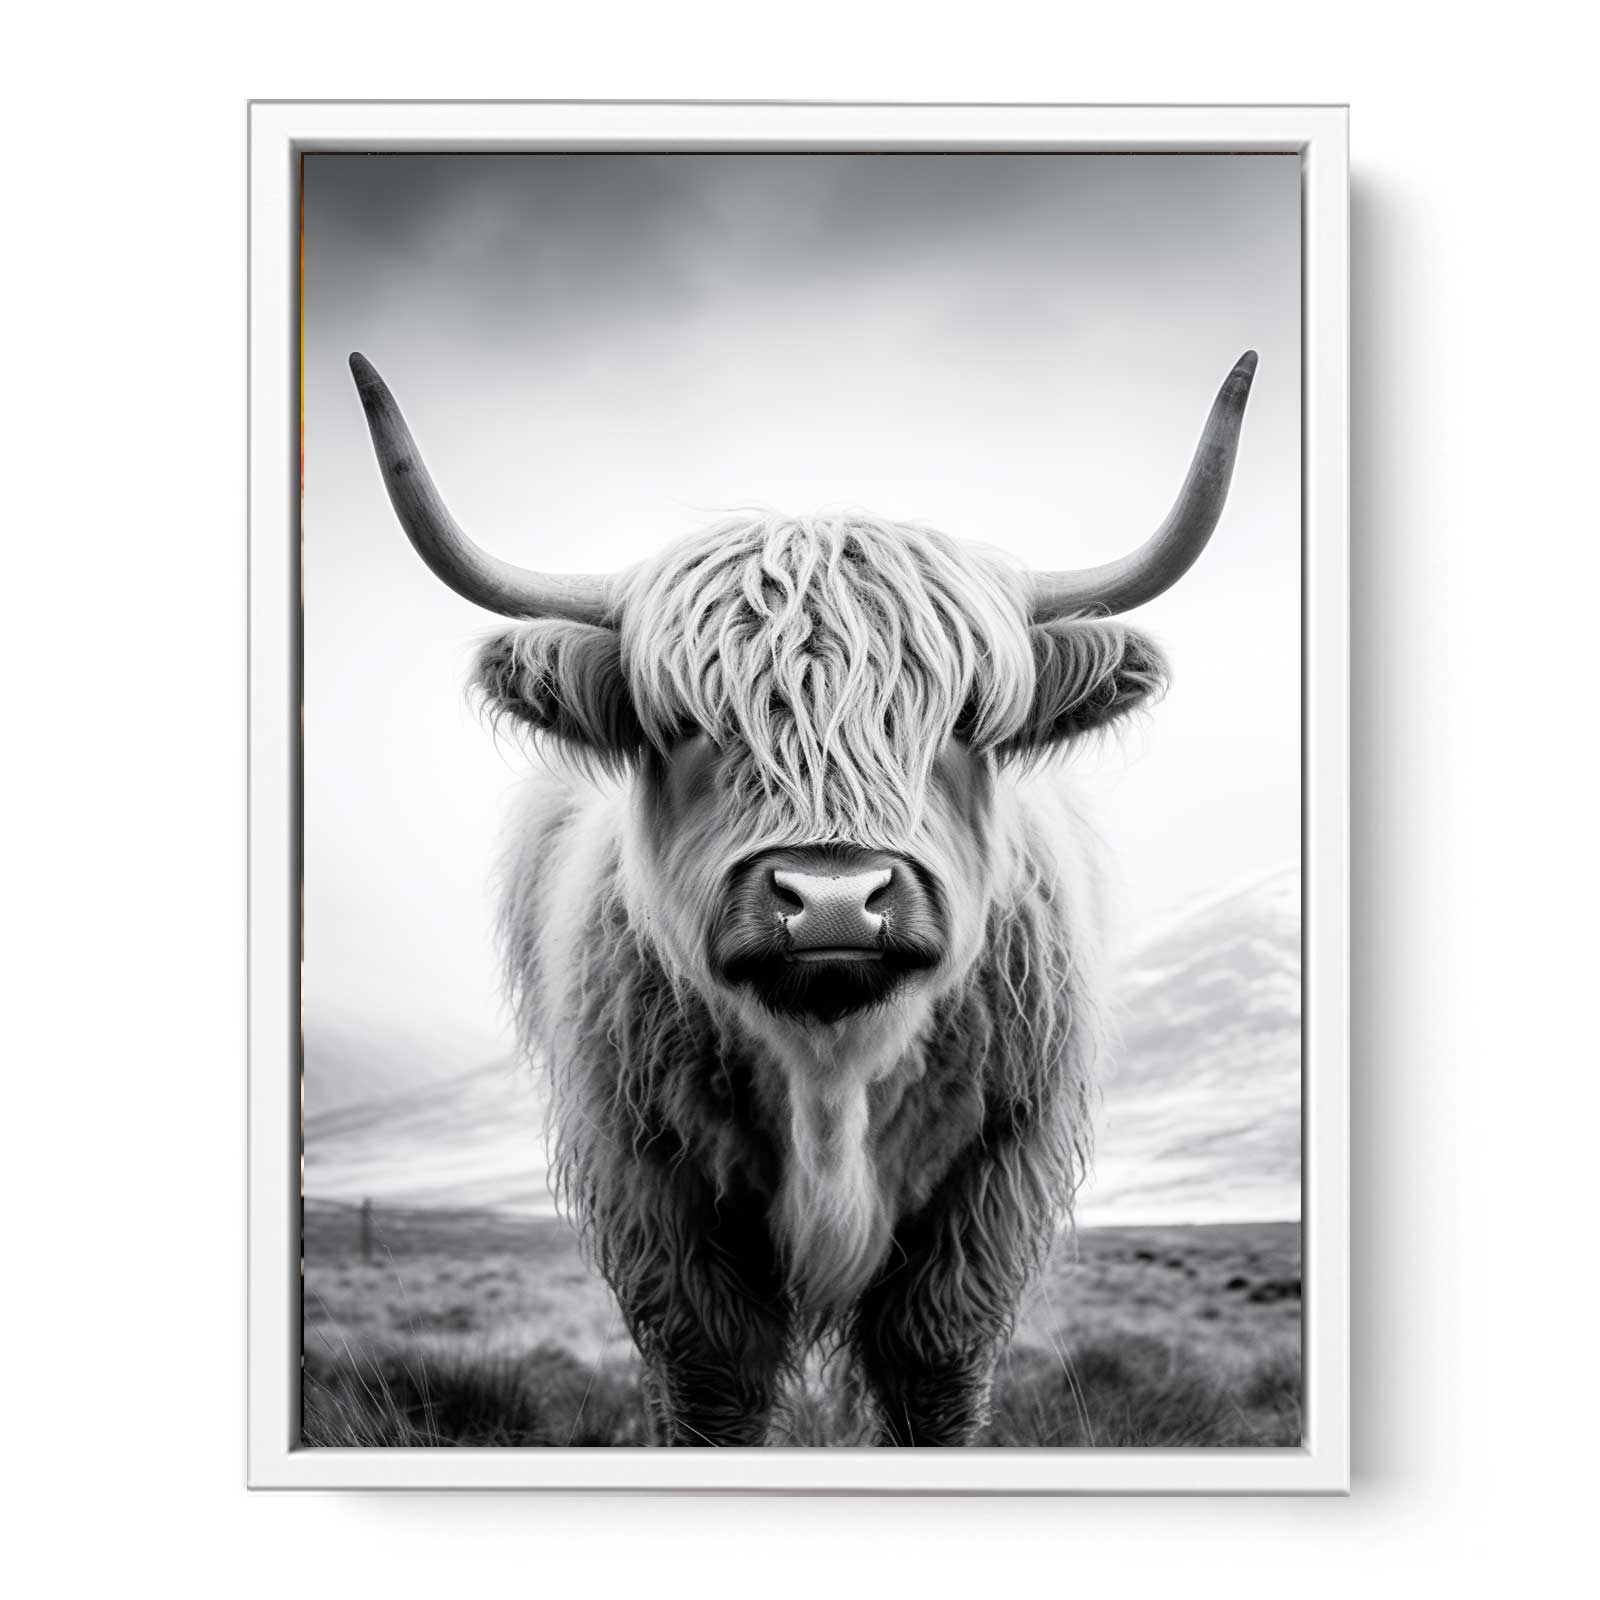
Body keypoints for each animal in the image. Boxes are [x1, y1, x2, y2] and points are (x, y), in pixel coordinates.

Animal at [349, 349, 1257, 1446]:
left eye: (962, 718)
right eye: (687, 723)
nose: (832, 899)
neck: (832, 1068)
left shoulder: (990, 1185)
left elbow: (932, 1373)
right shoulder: (653, 1189)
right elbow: (710, 1382)